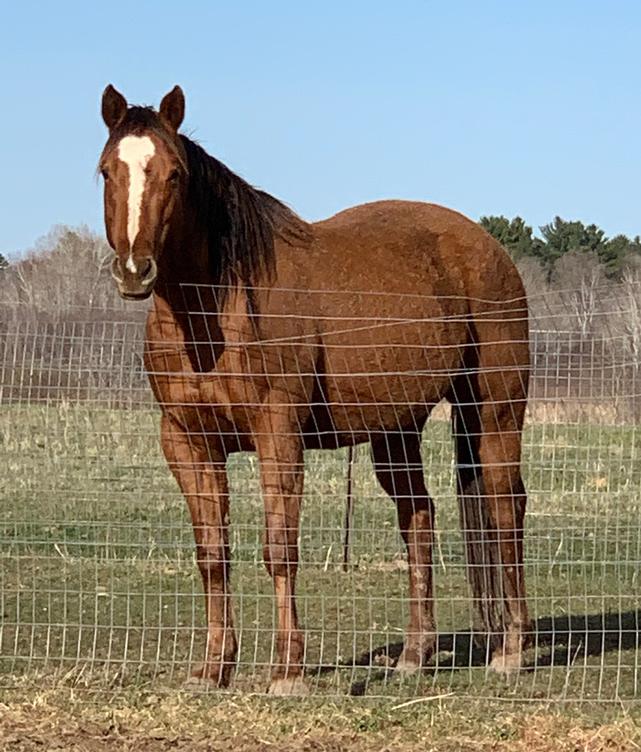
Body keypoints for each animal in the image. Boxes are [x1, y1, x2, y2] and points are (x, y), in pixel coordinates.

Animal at [98, 84, 531, 695]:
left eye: (175, 174)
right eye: (107, 170)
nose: (135, 270)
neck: (213, 310)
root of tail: (488, 247)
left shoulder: (278, 436)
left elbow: (280, 550)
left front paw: (287, 671)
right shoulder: (187, 443)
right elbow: (213, 554)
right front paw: (213, 668)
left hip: (493, 409)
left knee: (503, 507)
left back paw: (511, 650)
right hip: (396, 430)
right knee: (419, 519)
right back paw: (414, 656)